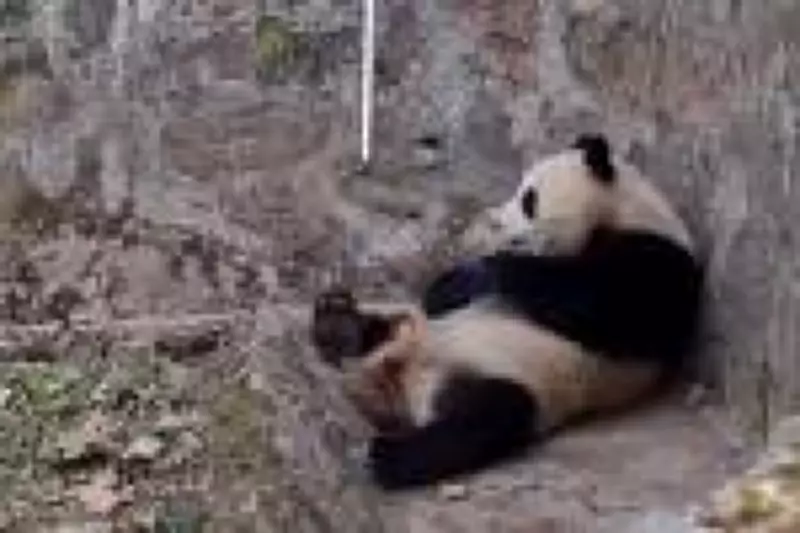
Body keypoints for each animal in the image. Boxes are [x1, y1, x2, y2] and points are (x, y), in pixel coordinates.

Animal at [311, 133, 704, 491]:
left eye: (529, 199)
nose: (498, 223)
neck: (624, 213)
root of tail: (407, 387)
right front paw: (445, 288)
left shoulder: (661, 263)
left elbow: (603, 305)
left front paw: (474, 275)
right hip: (417, 333)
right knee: (388, 327)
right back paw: (341, 326)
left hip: (520, 380)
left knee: (486, 418)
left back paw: (390, 457)